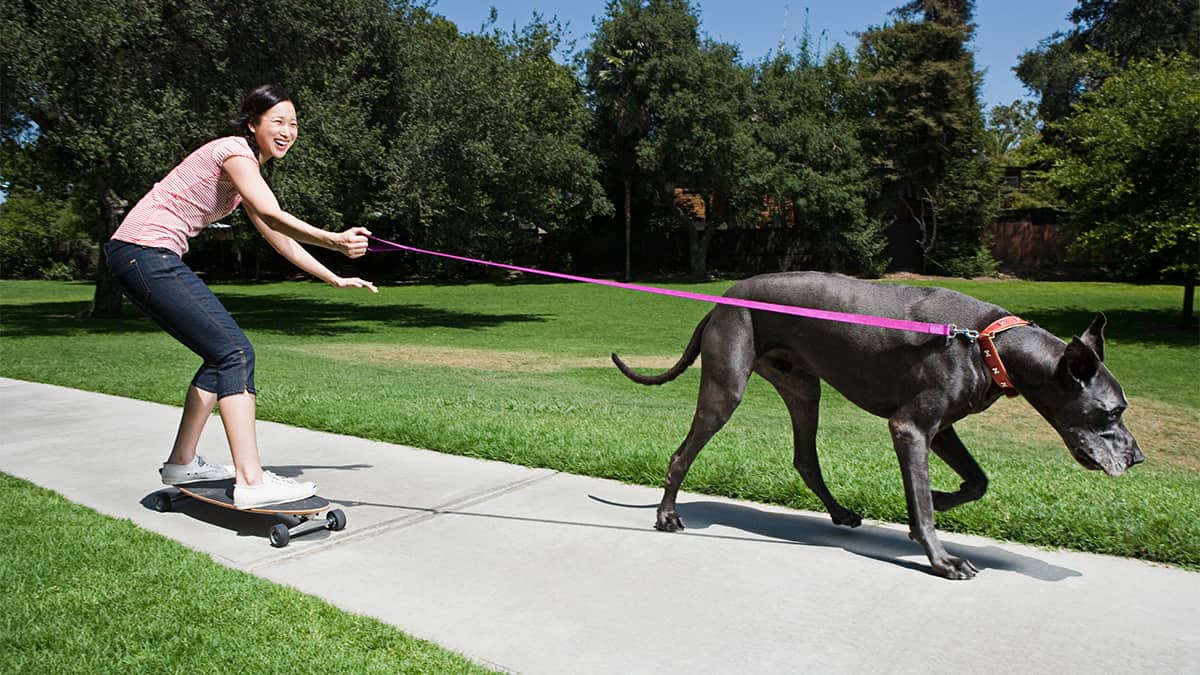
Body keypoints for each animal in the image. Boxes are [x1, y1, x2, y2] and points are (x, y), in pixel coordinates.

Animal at [614, 270, 1147, 576]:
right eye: (1112, 412)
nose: (1138, 457)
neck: (988, 344)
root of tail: (719, 303)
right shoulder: (910, 428)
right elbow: (929, 502)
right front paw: (941, 557)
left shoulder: (942, 428)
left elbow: (975, 482)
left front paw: (931, 502)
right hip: (726, 389)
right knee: (682, 453)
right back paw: (667, 515)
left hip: (804, 389)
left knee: (805, 459)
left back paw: (842, 513)